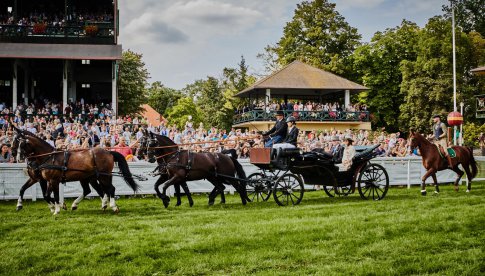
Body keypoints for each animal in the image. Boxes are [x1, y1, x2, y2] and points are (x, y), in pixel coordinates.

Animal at [12, 126, 140, 215]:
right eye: (16, 141)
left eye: (21, 143)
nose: (16, 156)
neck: (48, 157)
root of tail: (108, 152)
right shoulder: (43, 179)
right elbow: (37, 193)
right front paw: (19, 205)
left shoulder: (52, 180)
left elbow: (53, 195)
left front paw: (56, 209)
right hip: (92, 177)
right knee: (96, 190)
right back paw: (91, 205)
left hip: (103, 176)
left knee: (110, 189)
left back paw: (113, 206)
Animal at [246, 146, 390, 206]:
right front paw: (258, 189)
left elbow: (286, 185)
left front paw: (288, 192)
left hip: (368, 170)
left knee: (369, 178)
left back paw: (374, 191)